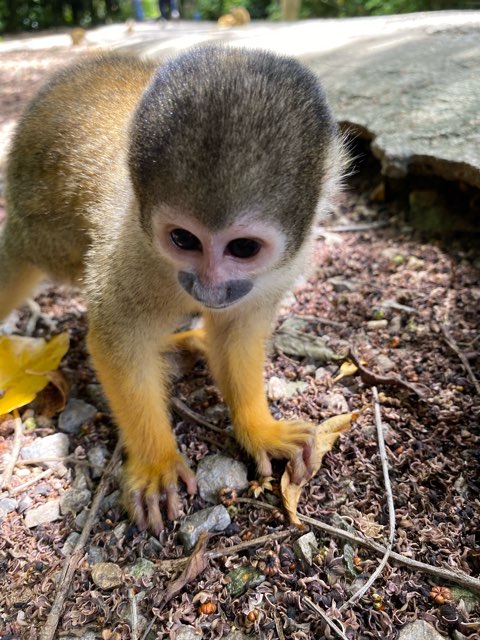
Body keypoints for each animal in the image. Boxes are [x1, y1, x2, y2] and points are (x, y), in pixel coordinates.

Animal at [0, 47, 344, 532]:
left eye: (243, 248)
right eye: (183, 239)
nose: (208, 288)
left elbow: (237, 334)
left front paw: (259, 428)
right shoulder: (130, 247)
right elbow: (119, 342)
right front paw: (156, 462)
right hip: (44, 237)